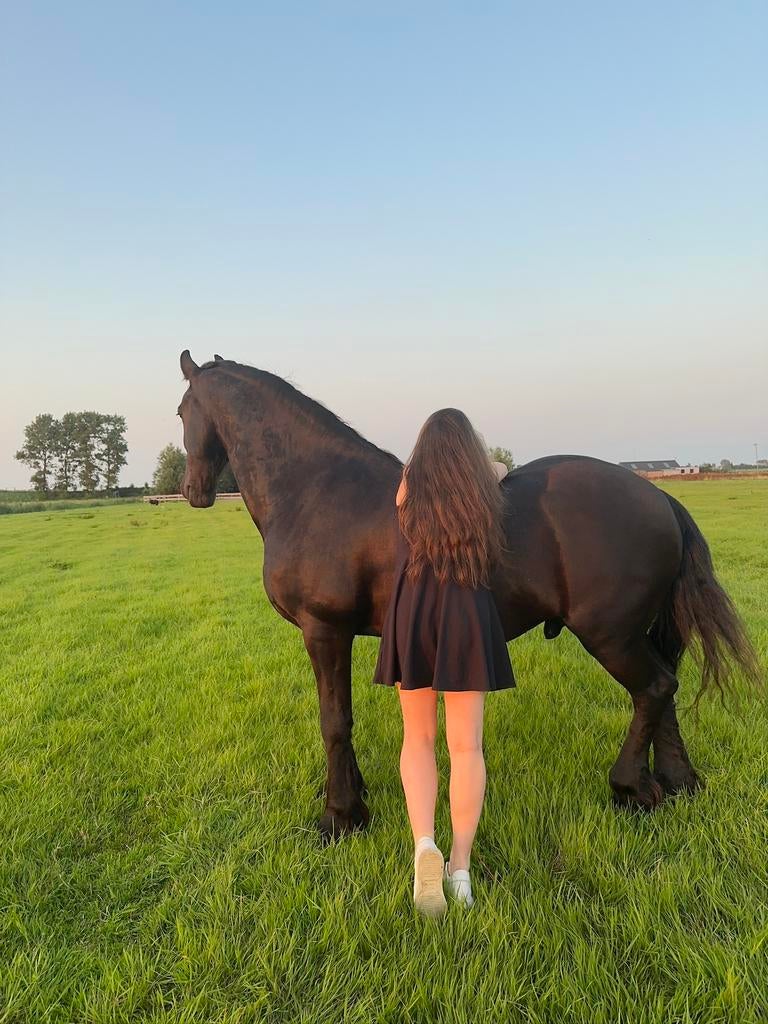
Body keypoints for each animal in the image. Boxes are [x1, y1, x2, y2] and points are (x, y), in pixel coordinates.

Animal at [176, 350, 760, 841]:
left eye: (182, 410)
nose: (192, 491)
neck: (317, 490)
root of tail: (659, 495)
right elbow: (340, 717)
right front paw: (354, 793)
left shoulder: (325, 629)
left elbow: (334, 720)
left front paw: (340, 816)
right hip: (637, 633)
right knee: (665, 691)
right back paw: (676, 780)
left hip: (610, 635)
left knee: (654, 689)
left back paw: (630, 787)